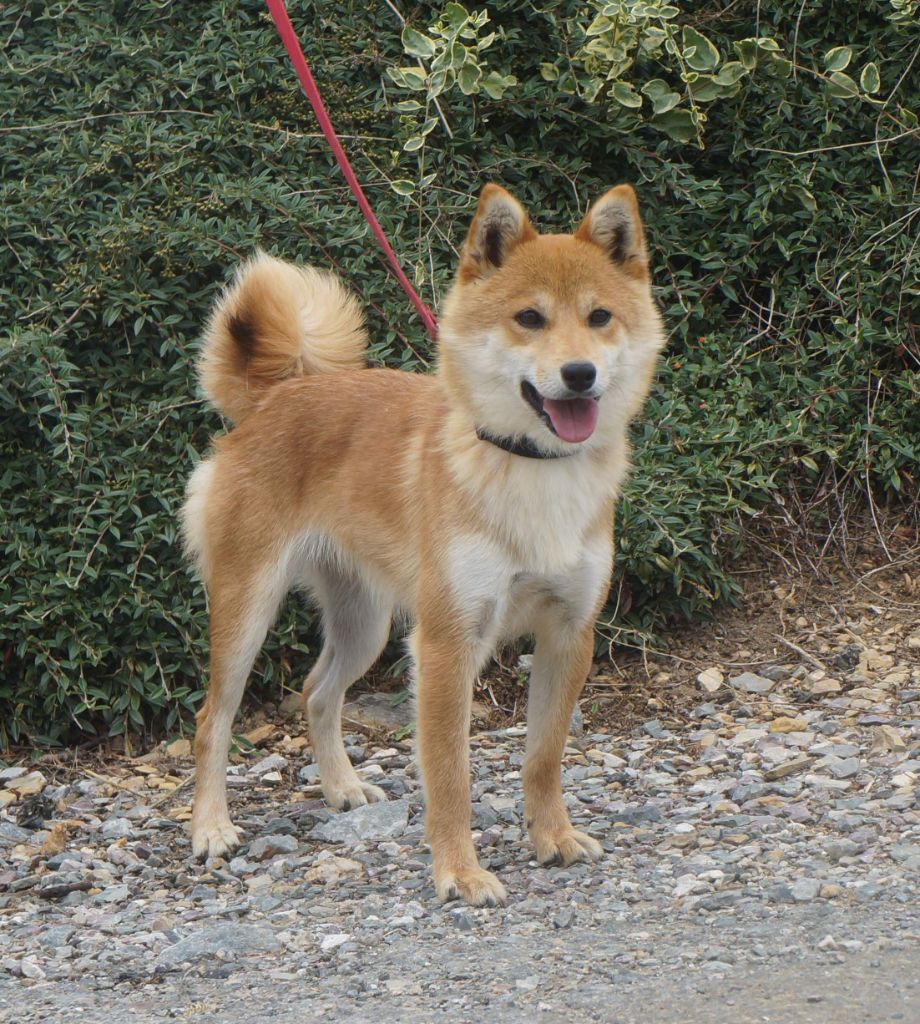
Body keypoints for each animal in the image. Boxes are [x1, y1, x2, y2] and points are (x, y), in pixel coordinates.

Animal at [182, 182, 663, 905]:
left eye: (599, 316)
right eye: (529, 318)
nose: (580, 373)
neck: (532, 469)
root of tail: (278, 396)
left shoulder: (569, 634)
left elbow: (544, 758)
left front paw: (552, 837)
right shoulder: (445, 643)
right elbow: (449, 775)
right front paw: (459, 872)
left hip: (365, 624)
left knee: (317, 692)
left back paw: (342, 788)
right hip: (247, 610)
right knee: (213, 721)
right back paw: (211, 827)